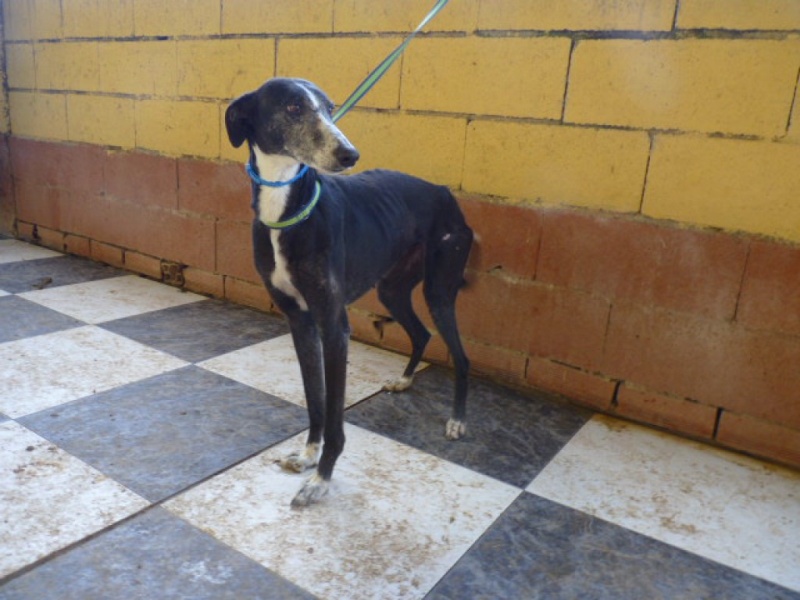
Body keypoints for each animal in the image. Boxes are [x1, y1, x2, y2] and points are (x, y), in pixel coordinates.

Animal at [225, 78, 472, 506]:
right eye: (293, 107)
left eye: (329, 107)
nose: (349, 154)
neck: (287, 209)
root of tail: (444, 192)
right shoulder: (300, 323)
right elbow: (315, 399)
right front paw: (308, 455)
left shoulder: (334, 326)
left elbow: (335, 414)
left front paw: (321, 478)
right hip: (392, 289)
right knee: (421, 333)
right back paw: (404, 380)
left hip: (440, 289)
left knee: (461, 356)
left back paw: (457, 419)